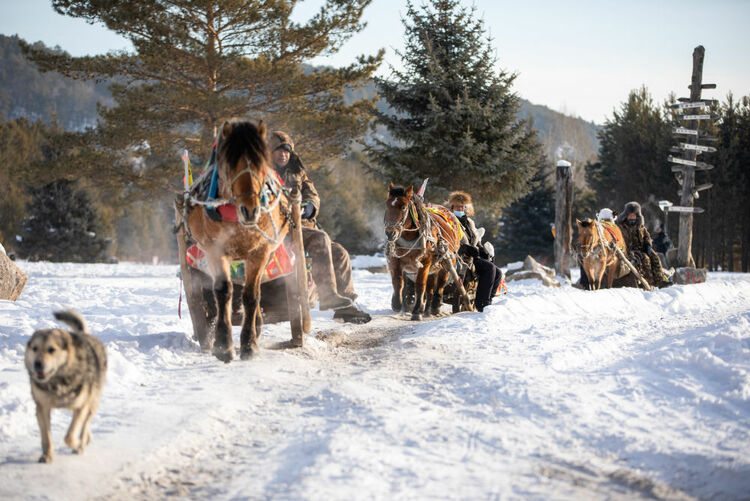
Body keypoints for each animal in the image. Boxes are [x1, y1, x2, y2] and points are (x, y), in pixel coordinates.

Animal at [24, 308, 107, 460]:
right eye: (35, 348)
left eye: (51, 349)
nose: (37, 364)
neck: (57, 381)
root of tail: (84, 334)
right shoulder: (42, 407)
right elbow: (46, 436)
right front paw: (47, 456)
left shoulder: (81, 406)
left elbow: (69, 436)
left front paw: (78, 444)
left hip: (91, 401)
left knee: (85, 423)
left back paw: (82, 443)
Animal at [178, 119, 292, 362]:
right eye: (230, 166)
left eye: (261, 164)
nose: (250, 210)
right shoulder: (215, 249)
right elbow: (223, 291)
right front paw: (223, 344)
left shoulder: (260, 252)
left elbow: (251, 295)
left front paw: (249, 343)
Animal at [388, 184, 464, 320]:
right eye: (387, 205)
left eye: (403, 207)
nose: (390, 233)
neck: (409, 238)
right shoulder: (395, 259)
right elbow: (398, 281)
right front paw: (396, 303)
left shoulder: (425, 263)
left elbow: (420, 286)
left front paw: (416, 312)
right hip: (433, 268)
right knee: (430, 289)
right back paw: (427, 308)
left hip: (447, 260)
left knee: (440, 284)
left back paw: (435, 305)